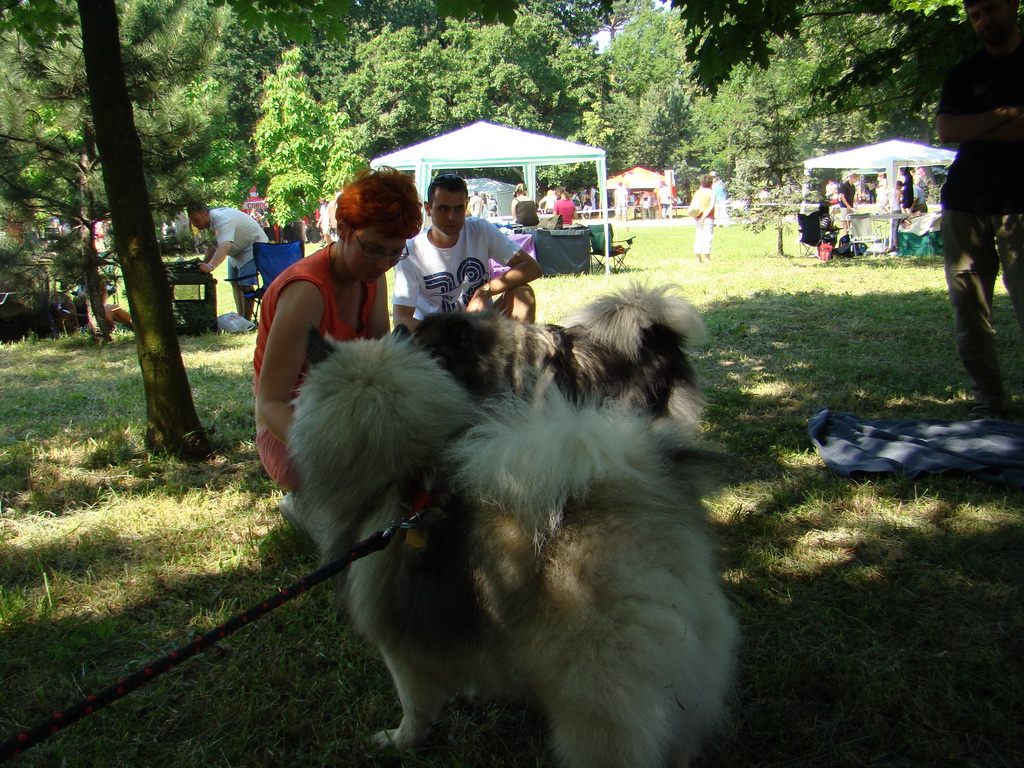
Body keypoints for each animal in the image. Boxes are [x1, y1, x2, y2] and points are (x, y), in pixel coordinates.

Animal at [288, 331, 737, 768]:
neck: (403, 480)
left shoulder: (400, 649)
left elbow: (415, 706)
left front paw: (399, 741)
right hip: (694, 661)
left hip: (595, 696)